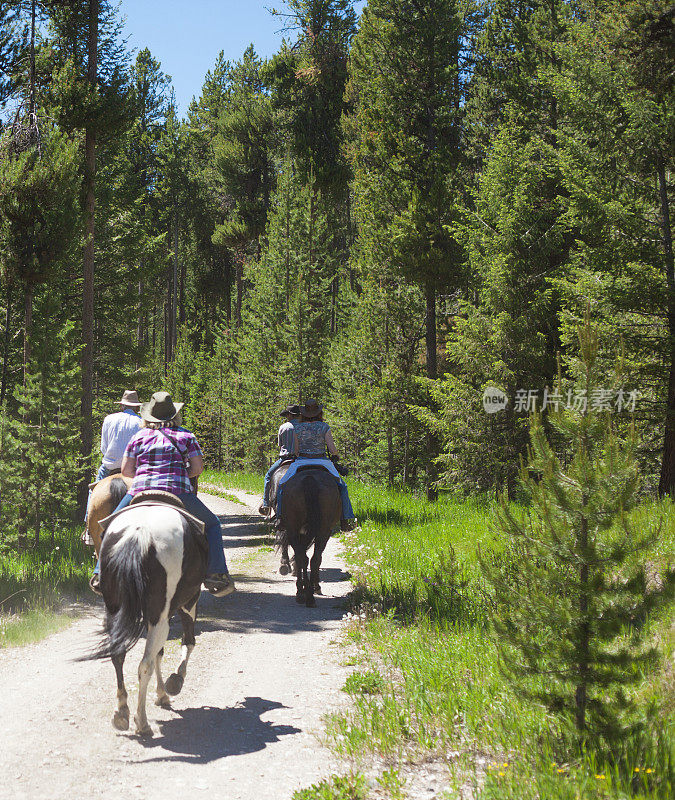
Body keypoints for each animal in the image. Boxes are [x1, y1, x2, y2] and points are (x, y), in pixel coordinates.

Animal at [82, 494, 209, 736]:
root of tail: (139, 533)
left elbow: (161, 651)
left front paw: (162, 693)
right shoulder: (188, 602)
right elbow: (187, 642)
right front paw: (174, 682)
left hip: (116, 608)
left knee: (118, 654)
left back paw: (121, 712)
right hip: (162, 614)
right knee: (145, 664)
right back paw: (142, 721)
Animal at [270, 462, 340, 608]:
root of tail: (309, 479)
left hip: (295, 527)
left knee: (303, 556)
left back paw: (302, 593)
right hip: (322, 530)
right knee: (312, 558)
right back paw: (310, 592)